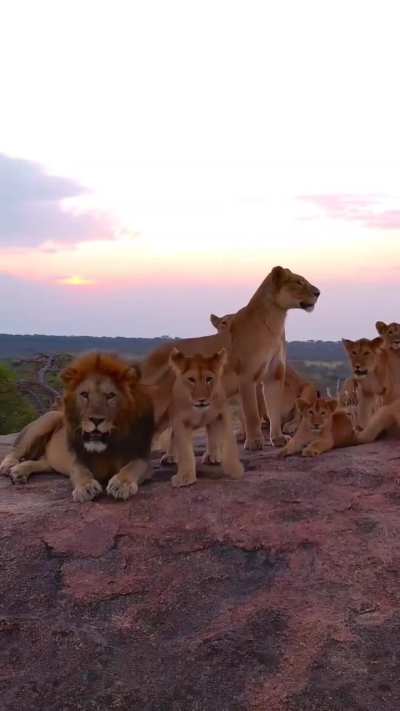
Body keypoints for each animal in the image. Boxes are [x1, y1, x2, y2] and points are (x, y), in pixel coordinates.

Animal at [0, 353, 155, 502]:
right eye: (84, 394)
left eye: (110, 395)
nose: (96, 419)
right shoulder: (77, 459)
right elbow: (80, 470)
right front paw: (86, 487)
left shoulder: (142, 458)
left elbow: (133, 466)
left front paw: (121, 484)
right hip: (49, 418)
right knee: (16, 450)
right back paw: (9, 466)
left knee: (40, 462)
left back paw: (19, 472)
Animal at [141, 266, 320, 450]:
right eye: (299, 282)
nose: (318, 292)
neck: (276, 321)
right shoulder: (247, 376)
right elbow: (251, 413)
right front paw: (254, 442)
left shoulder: (274, 375)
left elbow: (273, 409)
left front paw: (277, 438)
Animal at [155, 347, 244, 487]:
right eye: (191, 379)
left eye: (209, 379)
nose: (202, 400)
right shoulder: (181, 421)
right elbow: (185, 451)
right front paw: (185, 477)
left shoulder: (223, 414)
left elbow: (229, 443)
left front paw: (235, 470)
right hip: (164, 417)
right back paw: (169, 456)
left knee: (211, 433)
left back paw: (212, 456)